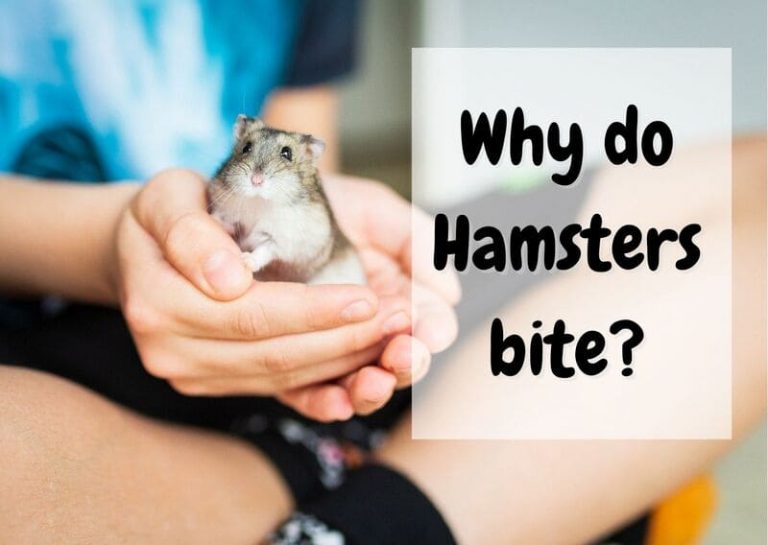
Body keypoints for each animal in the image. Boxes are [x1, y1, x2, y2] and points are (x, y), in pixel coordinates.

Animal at [208, 115, 366, 285]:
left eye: (287, 153)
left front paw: (245, 261)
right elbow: (224, 219)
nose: (256, 180)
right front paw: (216, 220)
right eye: (246, 147)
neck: (259, 201)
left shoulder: (280, 240)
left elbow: (264, 251)